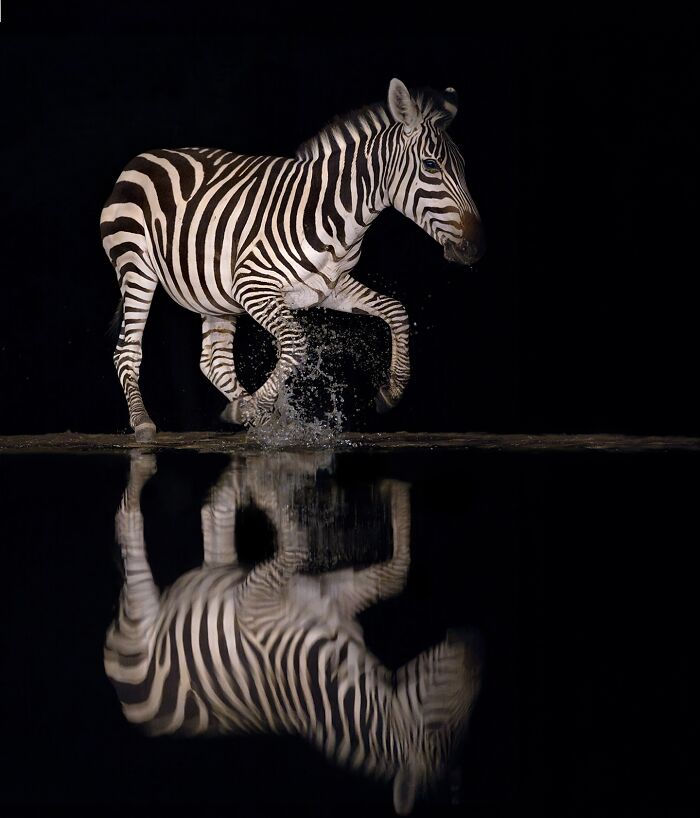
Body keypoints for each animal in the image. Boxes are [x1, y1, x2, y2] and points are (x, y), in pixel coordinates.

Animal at [100, 79, 485, 441]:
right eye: (431, 166)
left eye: (464, 166)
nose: (476, 247)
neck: (338, 217)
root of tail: (143, 158)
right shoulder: (253, 287)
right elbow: (296, 344)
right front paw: (256, 406)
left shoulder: (329, 288)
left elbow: (396, 310)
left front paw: (392, 390)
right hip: (137, 268)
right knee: (127, 350)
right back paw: (145, 422)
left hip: (213, 294)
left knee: (214, 362)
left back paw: (254, 415)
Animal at [104, 452, 482, 814]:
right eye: (437, 728)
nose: (474, 647)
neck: (335, 671)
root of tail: (130, 708)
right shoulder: (254, 602)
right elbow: (300, 545)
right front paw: (270, 487)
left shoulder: (329, 596)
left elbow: (396, 574)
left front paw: (395, 491)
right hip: (139, 615)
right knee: (127, 523)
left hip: (218, 574)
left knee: (214, 514)